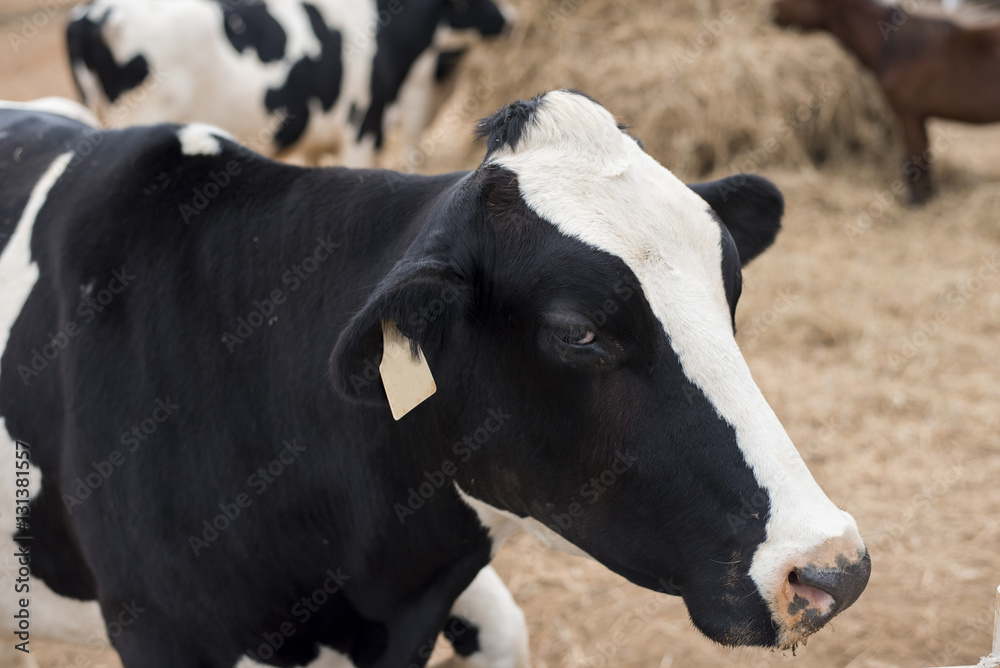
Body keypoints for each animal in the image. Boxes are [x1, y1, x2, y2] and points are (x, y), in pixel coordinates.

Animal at [772, 0, 1000, 205]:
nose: (770, 13)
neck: (894, 47)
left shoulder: (907, 114)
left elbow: (915, 159)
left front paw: (916, 201)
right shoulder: (917, 116)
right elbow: (923, 156)